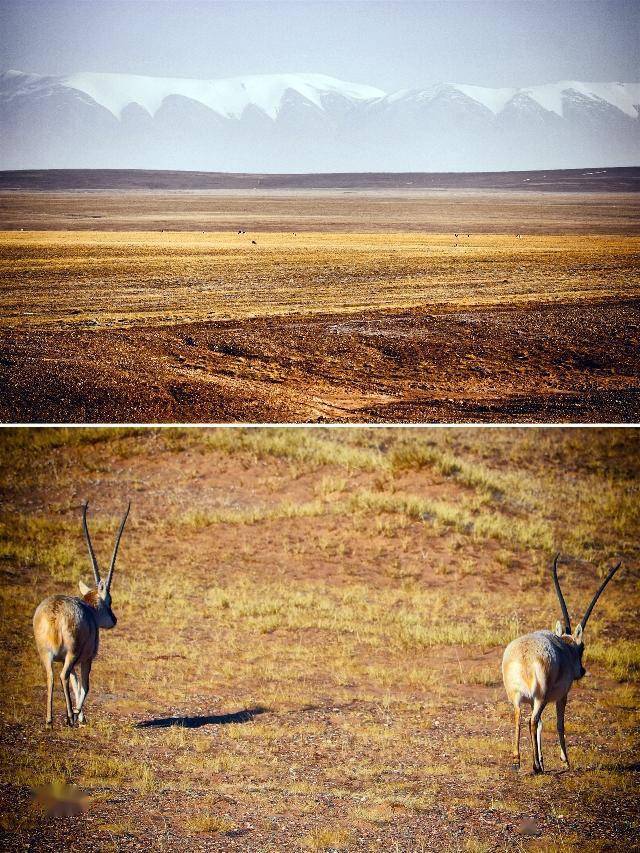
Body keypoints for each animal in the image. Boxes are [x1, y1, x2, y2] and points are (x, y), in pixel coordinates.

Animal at [32, 500, 130, 724]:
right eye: (109, 601)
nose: (114, 620)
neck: (90, 609)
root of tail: (55, 614)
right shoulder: (86, 659)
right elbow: (84, 686)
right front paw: (79, 715)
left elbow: (75, 684)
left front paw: (81, 715)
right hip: (72, 654)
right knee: (62, 676)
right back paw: (69, 716)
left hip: (47, 654)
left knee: (51, 676)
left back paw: (49, 720)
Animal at [502, 552, 624, 772]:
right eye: (582, 648)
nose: (581, 671)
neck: (565, 648)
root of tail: (525, 656)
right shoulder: (562, 696)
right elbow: (559, 724)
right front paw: (565, 760)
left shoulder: (531, 700)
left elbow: (542, 725)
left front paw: (543, 760)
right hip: (541, 697)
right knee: (532, 721)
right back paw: (535, 766)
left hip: (518, 697)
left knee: (519, 718)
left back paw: (518, 761)